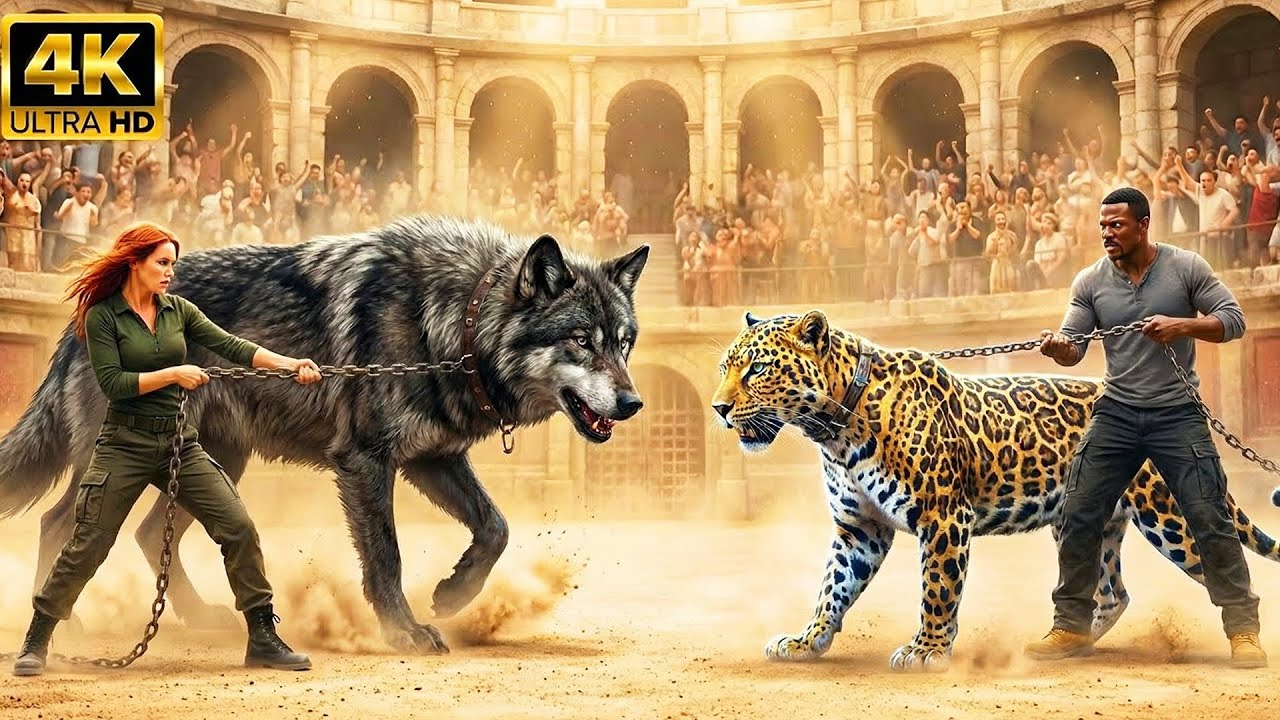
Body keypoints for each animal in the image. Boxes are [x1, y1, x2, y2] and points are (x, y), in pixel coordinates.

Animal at [0, 217, 650, 653]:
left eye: (623, 342)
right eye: (582, 340)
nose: (632, 404)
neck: (455, 321)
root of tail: (86, 312)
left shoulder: (433, 458)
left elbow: (496, 527)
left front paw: (453, 594)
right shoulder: (365, 460)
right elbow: (386, 556)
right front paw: (404, 631)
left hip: (213, 466)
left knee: (143, 534)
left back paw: (201, 617)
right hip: (123, 463)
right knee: (57, 523)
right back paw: (67, 624)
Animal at [711, 310, 1280, 672]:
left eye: (757, 368)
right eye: (723, 368)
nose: (718, 408)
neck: (835, 426)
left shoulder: (943, 516)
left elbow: (937, 589)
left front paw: (927, 651)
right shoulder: (859, 528)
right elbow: (832, 587)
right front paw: (806, 641)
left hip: (1171, 515)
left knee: (1224, 570)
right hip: (1087, 521)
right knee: (1110, 591)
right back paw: (1068, 642)